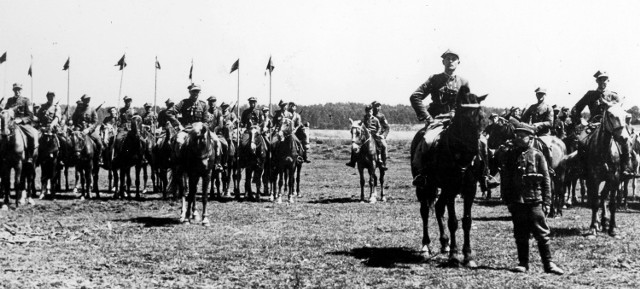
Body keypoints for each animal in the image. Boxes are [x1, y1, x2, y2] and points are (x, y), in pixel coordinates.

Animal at [410, 86, 484, 266]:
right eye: (463, 117)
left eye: (481, 117)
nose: (475, 153)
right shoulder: (451, 188)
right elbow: (453, 221)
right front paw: (454, 255)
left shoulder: (469, 189)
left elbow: (467, 221)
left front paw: (468, 255)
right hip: (424, 187)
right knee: (425, 211)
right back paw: (426, 247)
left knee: (438, 208)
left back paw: (445, 243)